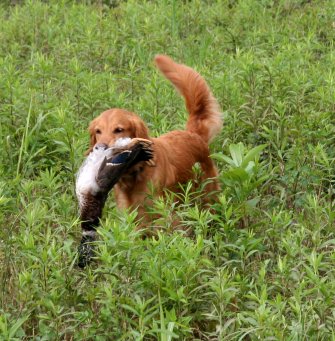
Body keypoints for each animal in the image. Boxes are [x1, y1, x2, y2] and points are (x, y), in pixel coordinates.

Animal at [86, 53, 223, 219]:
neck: (135, 174)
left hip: (208, 198)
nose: (100, 148)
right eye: (98, 131)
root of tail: (192, 133)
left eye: (119, 129)